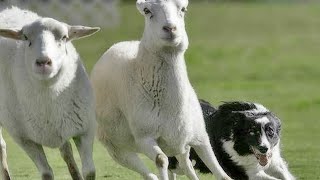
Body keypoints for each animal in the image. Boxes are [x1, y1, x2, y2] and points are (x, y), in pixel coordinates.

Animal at [0, 6, 100, 179]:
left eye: (64, 37)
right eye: (25, 38)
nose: (43, 62)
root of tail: (7, 10)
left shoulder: (85, 129)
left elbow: (89, 171)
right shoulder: (25, 139)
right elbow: (46, 173)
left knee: (66, 150)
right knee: (2, 147)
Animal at [90, 0, 232, 180]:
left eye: (183, 9)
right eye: (147, 11)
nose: (170, 28)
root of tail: (119, 44)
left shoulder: (200, 137)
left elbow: (220, 172)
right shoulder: (145, 137)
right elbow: (160, 160)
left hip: (179, 142)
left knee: (186, 165)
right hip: (117, 148)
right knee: (149, 173)